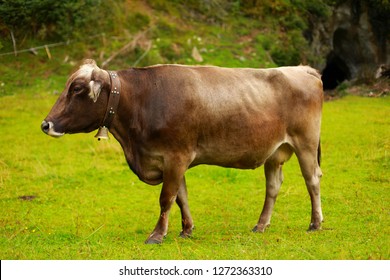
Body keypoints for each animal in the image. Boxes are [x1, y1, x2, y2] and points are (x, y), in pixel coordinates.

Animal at [41, 60, 324, 244]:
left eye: (76, 89)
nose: (46, 124)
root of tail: (302, 68)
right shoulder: (172, 161)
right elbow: (181, 197)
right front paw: (186, 230)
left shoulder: (176, 157)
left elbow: (166, 198)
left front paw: (157, 235)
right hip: (275, 152)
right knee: (273, 186)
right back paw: (261, 225)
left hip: (306, 143)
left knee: (312, 181)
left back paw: (315, 223)